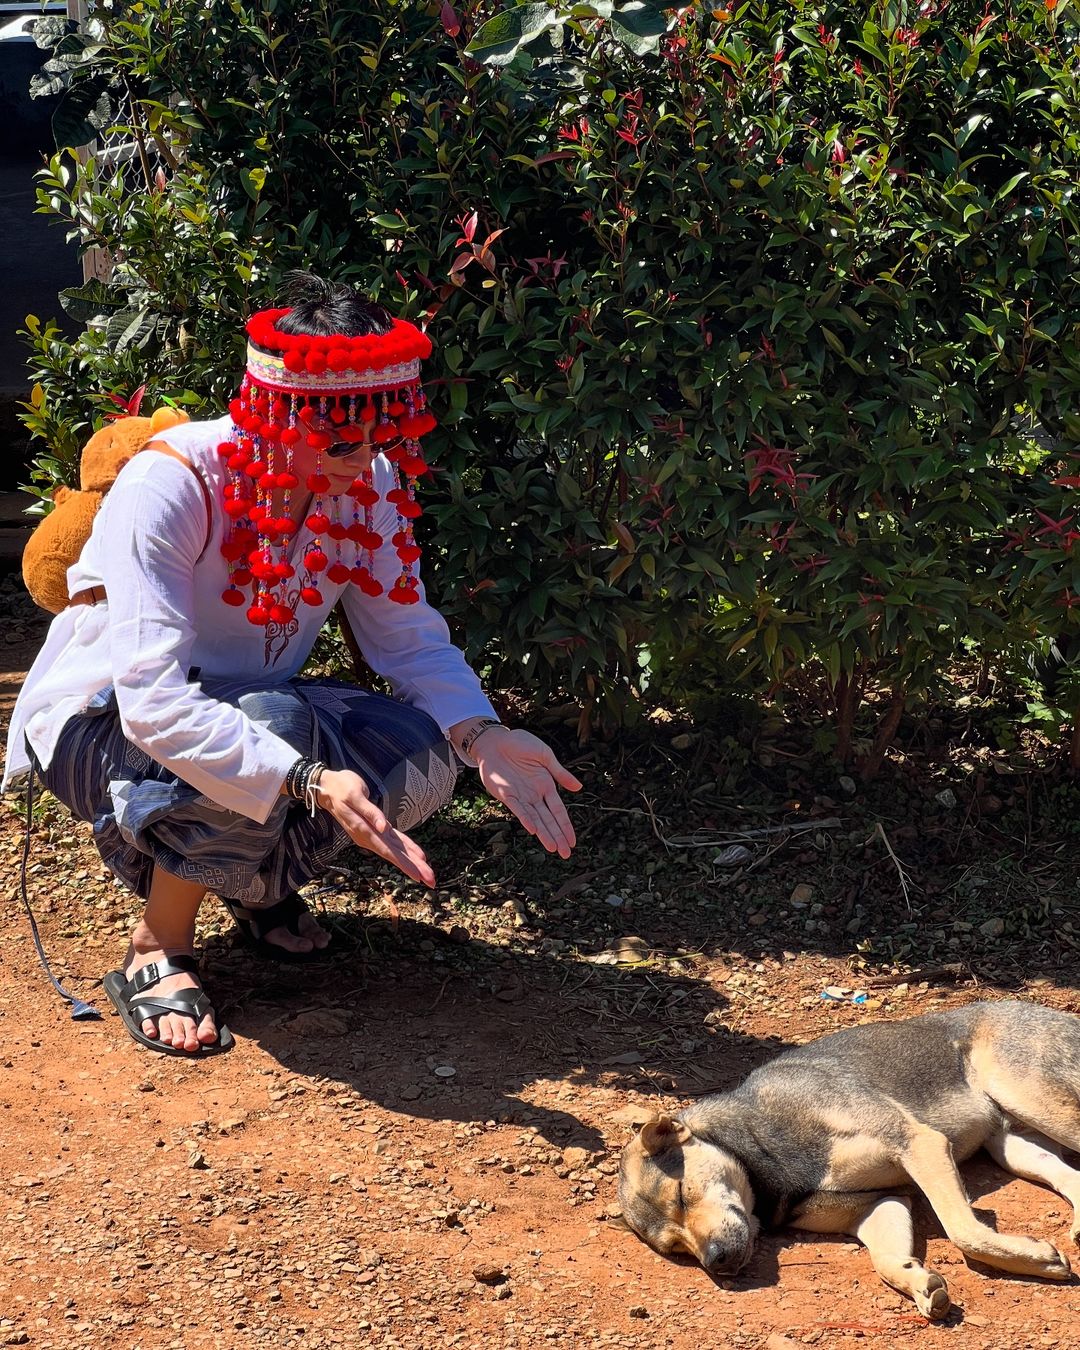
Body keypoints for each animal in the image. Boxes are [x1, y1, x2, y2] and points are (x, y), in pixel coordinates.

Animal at [615, 1004, 1080, 1317]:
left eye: (681, 1193)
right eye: (674, 1248)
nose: (717, 1263)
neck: (759, 1148)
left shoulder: (920, 1143)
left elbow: (963, 1229)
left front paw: (1035, 1258)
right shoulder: (878, 1203)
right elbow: (886, 1260)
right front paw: (917, 1280)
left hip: (1029, 1098)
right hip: (1012, 1144)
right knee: (1069, 1175)